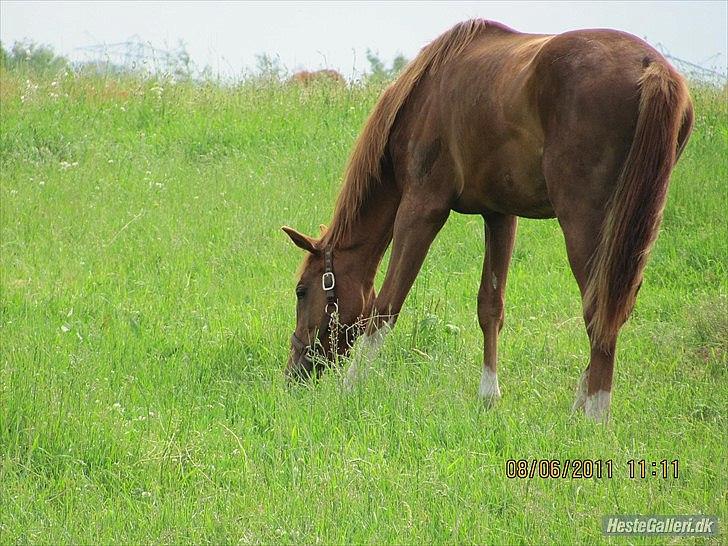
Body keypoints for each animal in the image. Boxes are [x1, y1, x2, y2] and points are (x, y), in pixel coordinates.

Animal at [280, 19, 692, 420]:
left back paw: (594, 412)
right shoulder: (500, 215)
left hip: (585, 222)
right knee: (616, 305)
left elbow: (386, 304)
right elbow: (490, 306)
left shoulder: (422, 208)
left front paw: (349, 389)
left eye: (302, 290)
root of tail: (652, 69)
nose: (293, 373)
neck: (424, 95)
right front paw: (488, 396)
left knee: (600, 310)